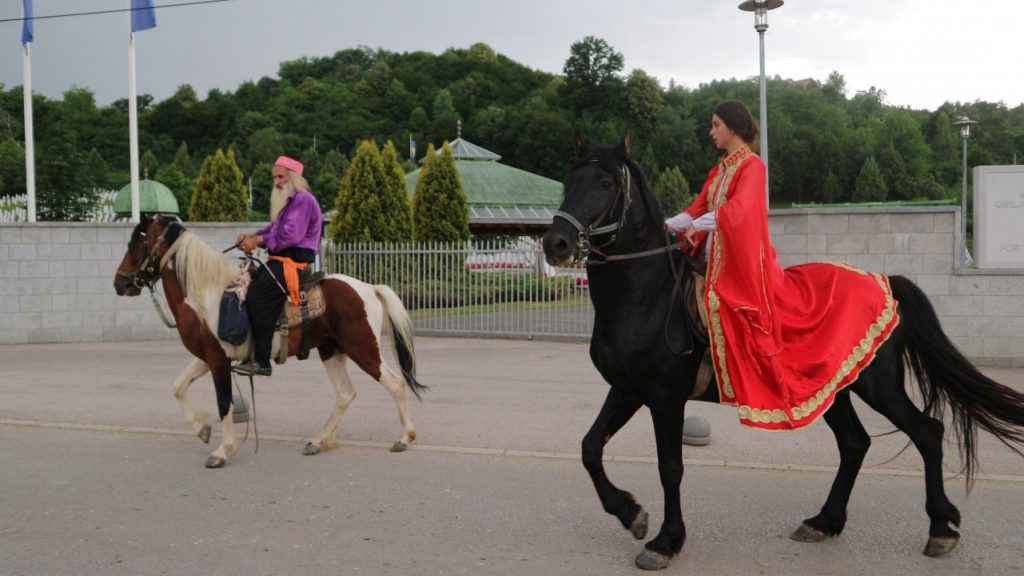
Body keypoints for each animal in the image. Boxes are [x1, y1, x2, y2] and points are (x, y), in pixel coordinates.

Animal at [114, 214, 425, 467]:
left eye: (135, 244)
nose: (119, 283)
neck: (206, 296)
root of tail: (370, 288)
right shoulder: (208, 356)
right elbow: (178, 387)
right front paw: (201, 429)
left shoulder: (217, 360)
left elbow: (224, 402)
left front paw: (223, 451)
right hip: (331, 350)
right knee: (345, 394)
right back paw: (319, 440)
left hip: (363, 347)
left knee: (395, 383)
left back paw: (404, 438)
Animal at [548, 135, 1024, 569]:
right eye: (568, 180)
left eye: (606, 182)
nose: (555, 243)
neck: (645, 293)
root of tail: (886, 281)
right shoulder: (628, 390)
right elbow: (590, 447)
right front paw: (631, 514)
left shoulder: (665, 398)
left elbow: (671, 467)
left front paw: (665, 540)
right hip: (833, 388)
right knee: (855, 443)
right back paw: (824, 521)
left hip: (878, 385)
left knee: (926, 432)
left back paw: (941, 528)